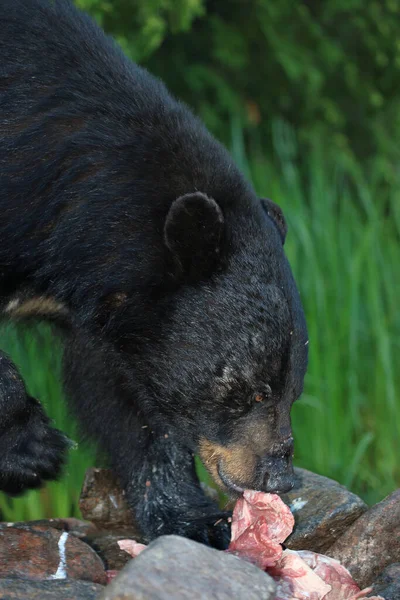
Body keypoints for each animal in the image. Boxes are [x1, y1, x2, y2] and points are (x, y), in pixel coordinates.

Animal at [0, 0, 310, 548]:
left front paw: (191, 518)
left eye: (294, 386)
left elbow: (129, 403)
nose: (280, 476)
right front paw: (32, 449)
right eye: (253, 390)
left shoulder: (112, 314)